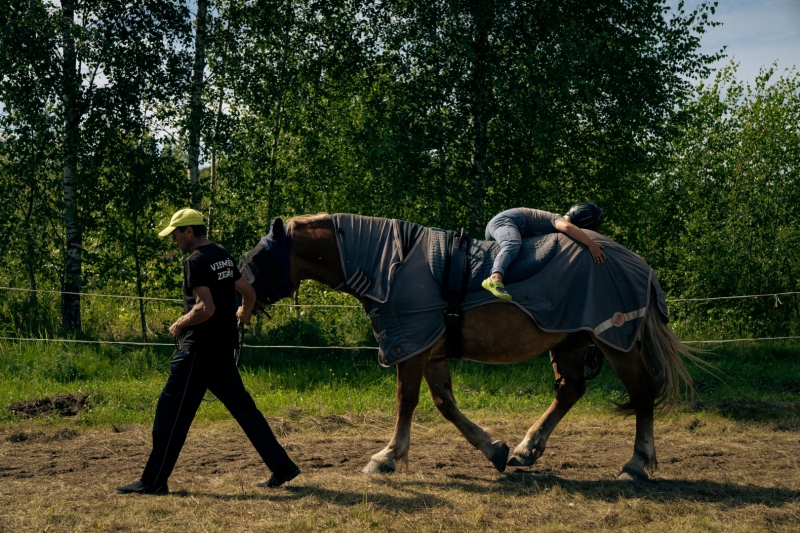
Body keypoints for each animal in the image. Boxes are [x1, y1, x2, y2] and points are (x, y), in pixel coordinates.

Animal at [241, 213, 696, 482]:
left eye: (261, 257)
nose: (239, 297)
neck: (394, 265)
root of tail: (640, 266)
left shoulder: (411, 347)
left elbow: (407, 401)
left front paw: (387, 456)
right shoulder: (431, 350)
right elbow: (445, 404)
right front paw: (494, 449)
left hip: (616, 341)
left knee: (642, 392)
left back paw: (636, 464)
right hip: (571, 340)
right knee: (569, 391)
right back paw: (527, 449)